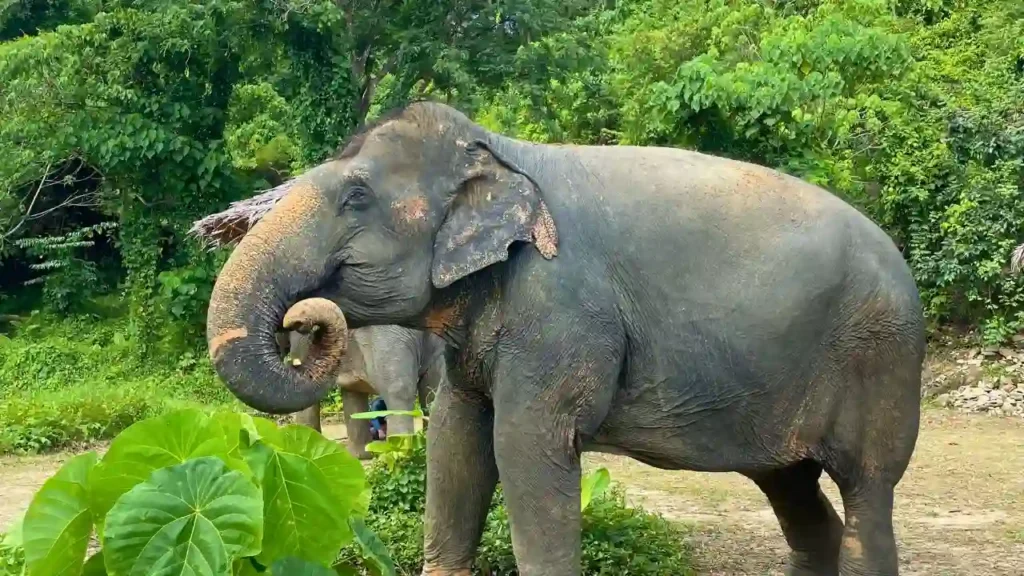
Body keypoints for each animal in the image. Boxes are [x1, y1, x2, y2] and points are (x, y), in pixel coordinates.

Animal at [204, 101, 925, 576]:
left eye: (355, 197)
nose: (305, 322)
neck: (500, 149)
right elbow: (456, 440)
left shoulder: (561, 309)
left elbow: (524, 447)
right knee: (794, 491)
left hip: (880, 357)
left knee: (867, 491)